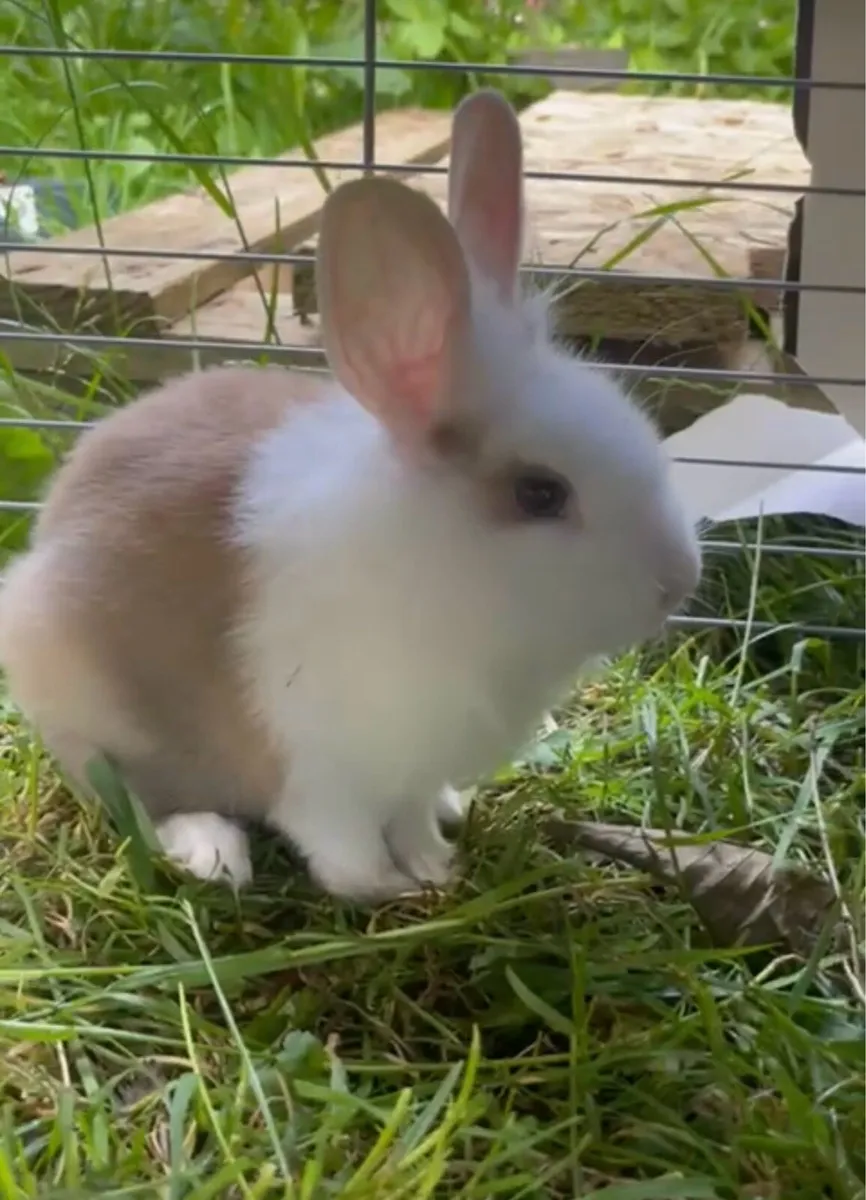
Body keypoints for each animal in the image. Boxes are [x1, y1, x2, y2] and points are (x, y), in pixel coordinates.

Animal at [0, 90, 701, 901]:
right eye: (540, 493)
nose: (678, 582)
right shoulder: (328, 776)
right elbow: (343, 852)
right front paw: (396, 890)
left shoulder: (411, 772)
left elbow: (414, 820)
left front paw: (436, 863)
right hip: (96, 715)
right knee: (142, 802)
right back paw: (214, 853)